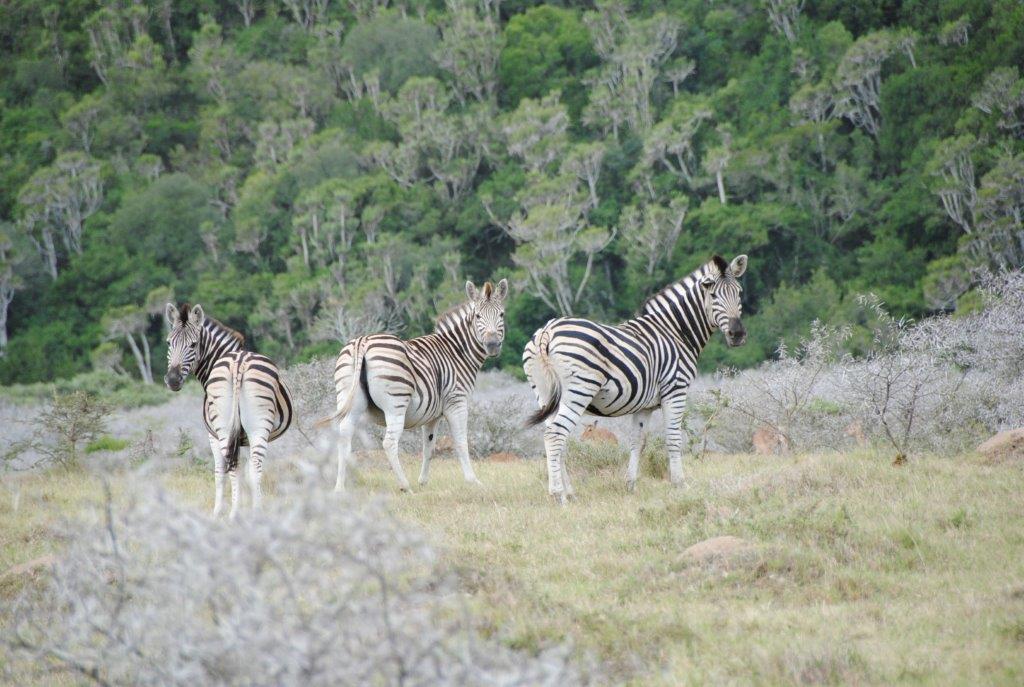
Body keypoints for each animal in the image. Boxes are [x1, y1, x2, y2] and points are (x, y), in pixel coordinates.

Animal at [163, 303, 292, 518]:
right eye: (169, 343)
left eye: (193, 344)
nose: (172, 380)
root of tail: (238, 363)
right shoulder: (240, 437)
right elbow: (241, 470)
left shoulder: (214, 435)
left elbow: (219, 472)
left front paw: (218, 512)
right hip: (255, 427)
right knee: (251, 467)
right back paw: (249, 511)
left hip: (228, 428)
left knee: (236, 467)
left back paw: (238, 512)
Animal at [319, 278, 507, 495]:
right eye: (478, 316)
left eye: (501, 314)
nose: (492, 345)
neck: (457, 351)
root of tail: (362, 342)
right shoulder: (457, 401)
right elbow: (461, 442)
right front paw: (473, 481)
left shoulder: (433, 414)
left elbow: (429, 447)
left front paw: (423, 481)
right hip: (396, 403)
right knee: (389, 443)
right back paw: (405, 487)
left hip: (349, 400)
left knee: (343, 439)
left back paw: (340, 488)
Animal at [524, 254, 749, 501]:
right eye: (713, 295)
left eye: (738, 292)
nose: (737, 334)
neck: (676, 332)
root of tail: (548, 330)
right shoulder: (676, 390)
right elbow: (673, 438)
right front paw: (680, 484)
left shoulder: (645, 406)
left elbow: (637, 441)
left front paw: (630, 485)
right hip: (579, 390)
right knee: (555, 435)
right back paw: (558, 495)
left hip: (545, 394)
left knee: (553, 436)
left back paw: (569, 492)